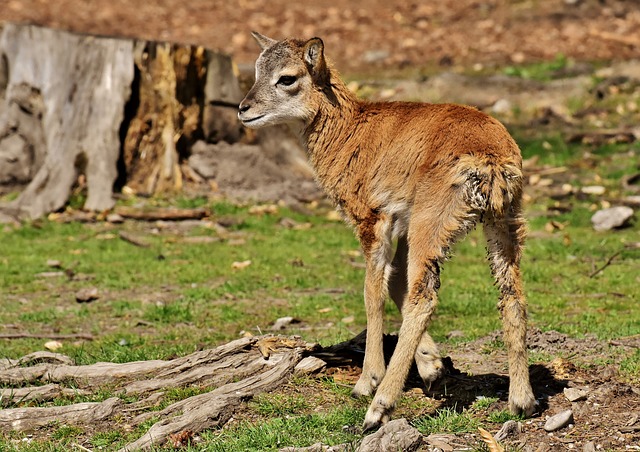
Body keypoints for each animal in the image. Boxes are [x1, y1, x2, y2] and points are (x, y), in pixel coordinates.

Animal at [236, 32, 536, 430]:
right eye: (256, 70)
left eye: (287, 78)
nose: (244, 109)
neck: (349, 132)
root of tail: (491, 162)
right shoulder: (403, 221)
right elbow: (395, 283)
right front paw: (433, 369)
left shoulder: (373, 217)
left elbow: (372, 291)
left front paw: (367, 382)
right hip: (503, 221)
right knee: (511, 295)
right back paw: (522, 402)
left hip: (433, 220)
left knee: (425, 299)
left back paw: (378, 409)